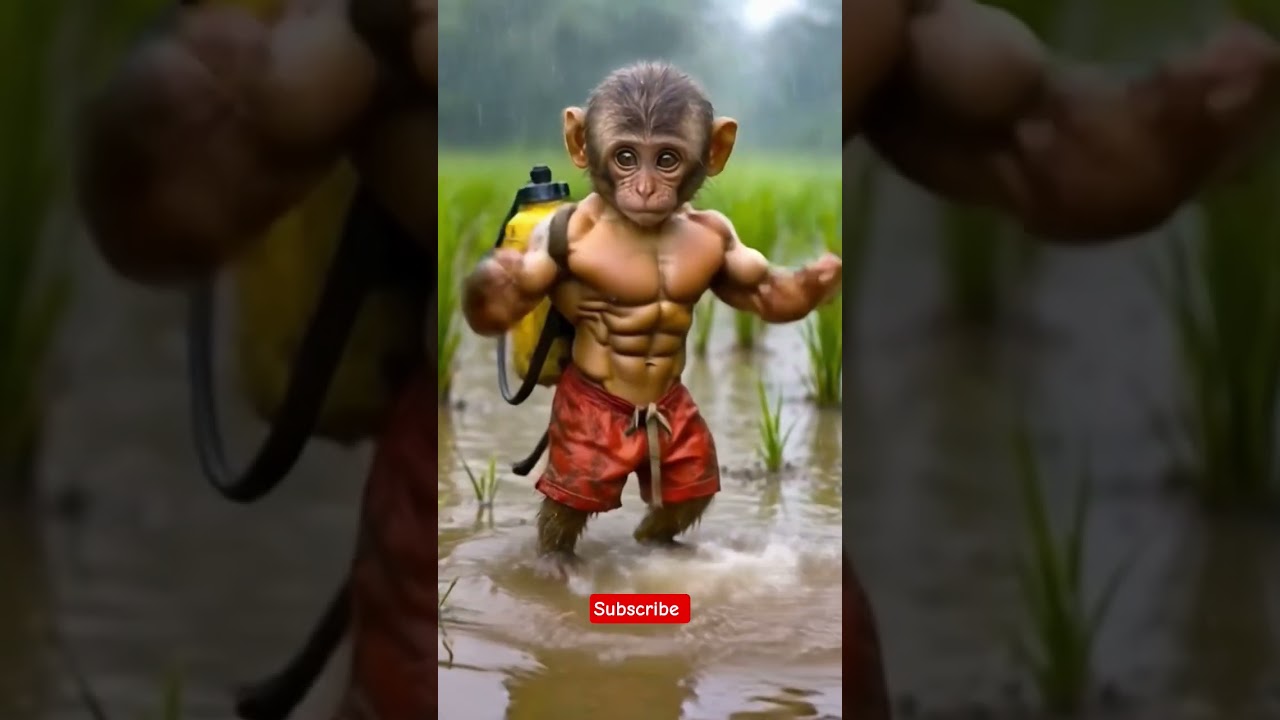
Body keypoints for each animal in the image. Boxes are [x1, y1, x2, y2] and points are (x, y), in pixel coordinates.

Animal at [462, 62, 844, 578]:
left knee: (684, 495)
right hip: (584, 436)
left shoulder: (721, 235)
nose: (644, 188)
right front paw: (489, 285)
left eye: (665, 159)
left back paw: (656, 544)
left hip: (676, 428)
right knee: (570, 501)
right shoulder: (555, 237)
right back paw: (555, 562)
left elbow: (758, 290)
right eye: (626, 157)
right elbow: (519, 286)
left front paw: (820, 279)